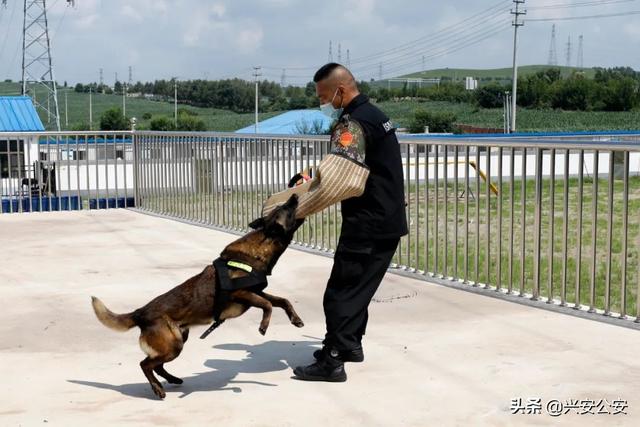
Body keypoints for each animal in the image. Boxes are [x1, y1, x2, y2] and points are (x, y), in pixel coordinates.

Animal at [90, 196, 308, 400]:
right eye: (285, 208)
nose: (295, 195)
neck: (260, 248)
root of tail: (140, 313)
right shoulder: (242, 294)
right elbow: (268, 305)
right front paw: (263, 326)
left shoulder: (256, 293)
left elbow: (282, 300)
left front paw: (295, 319)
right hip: (173, 345)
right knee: (145, 364)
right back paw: (158, 388)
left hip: (178, 339)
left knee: (156, 365)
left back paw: (172, 379)